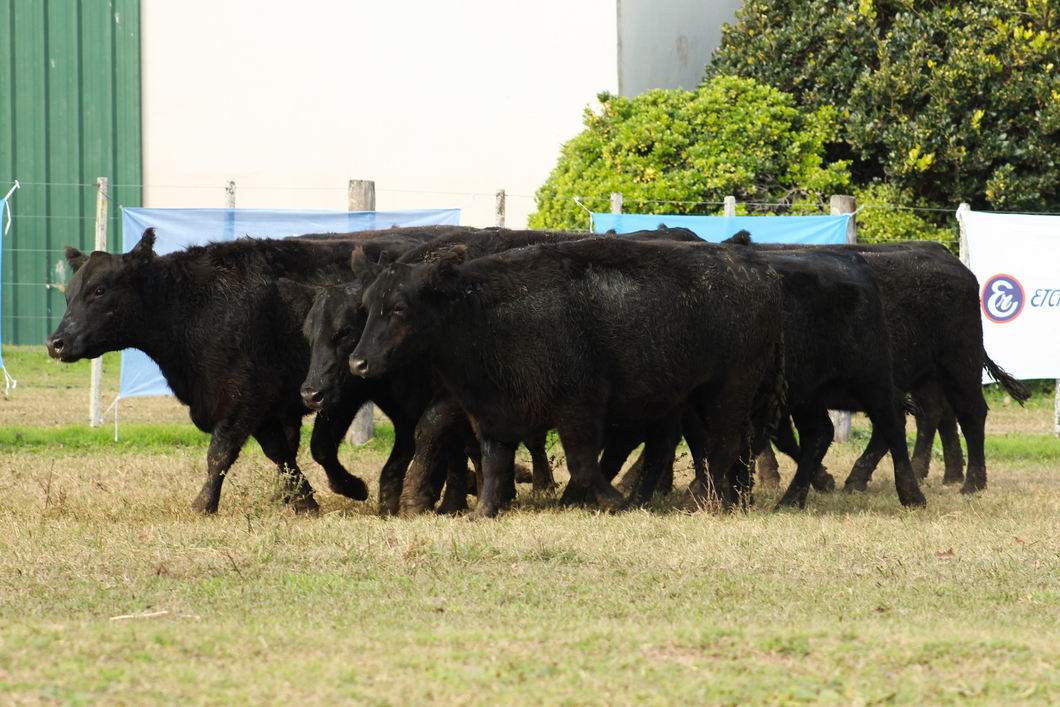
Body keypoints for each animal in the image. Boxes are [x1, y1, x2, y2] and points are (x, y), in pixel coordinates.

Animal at [45, 226, 438, 515]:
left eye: (99, 290)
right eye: (67, 294)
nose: (56, 342)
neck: (194, 306)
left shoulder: (245, 395)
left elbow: (223, 451)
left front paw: (204, 504)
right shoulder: (264, 405)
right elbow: (280, 453)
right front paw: (301, 500)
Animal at [349, 237, 788, 519]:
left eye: (400, 307)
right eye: (367, 305)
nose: (358, 363)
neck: (482, 312)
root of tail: (761, 269)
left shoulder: (578, 407)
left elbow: (583, 464)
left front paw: (615, 502)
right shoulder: (489, 411)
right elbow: (493, 462)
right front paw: (483, 511)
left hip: (731, 385)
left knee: (725, 443)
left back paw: (699, 502)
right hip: (690, 394)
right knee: (692, 445)